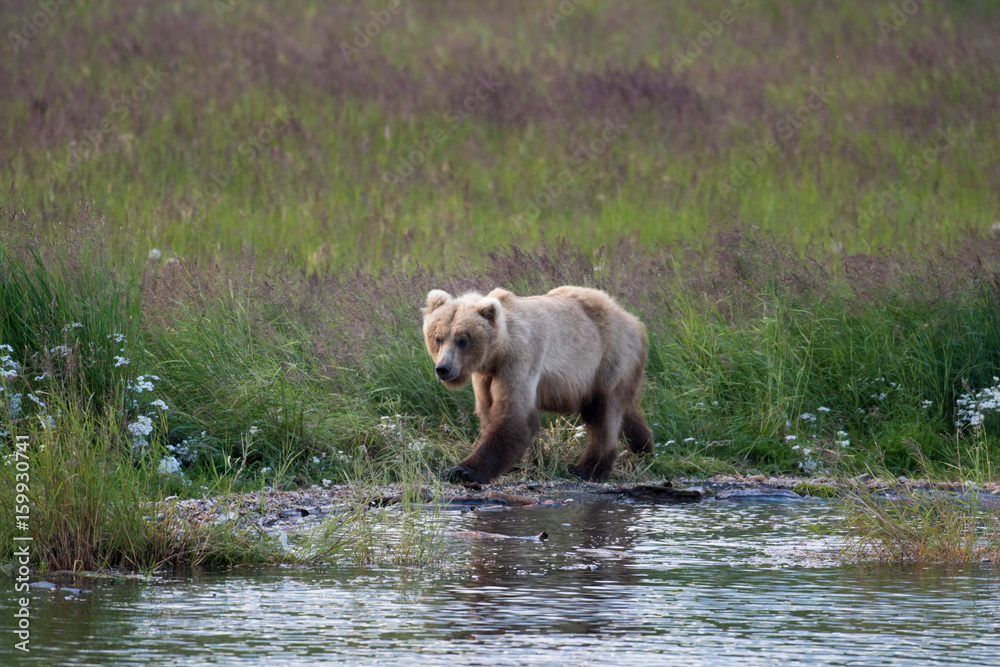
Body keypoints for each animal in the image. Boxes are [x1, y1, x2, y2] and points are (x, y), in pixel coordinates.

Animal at [422, 284, 656, 482]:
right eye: (437, 337)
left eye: (463, 339)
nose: (443, 368)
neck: (497, 352)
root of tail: (633, 320)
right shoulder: (484, 375)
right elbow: (488, 410)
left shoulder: (520, 360)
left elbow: (512, 414)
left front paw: (464, 469)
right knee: (625, 411)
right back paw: (645, 448)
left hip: (608, 359)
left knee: (603, 415)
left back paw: (587, 469)